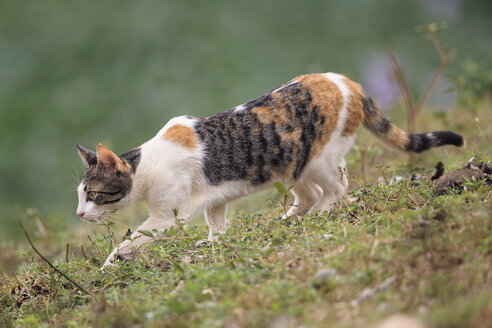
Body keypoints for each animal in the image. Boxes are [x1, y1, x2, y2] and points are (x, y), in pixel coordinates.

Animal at [77, 72, 466, 266]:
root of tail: (346, 81)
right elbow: (216, 222)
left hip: (319, 161)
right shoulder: (214, 200)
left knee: (337, 188)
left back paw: (321, 213)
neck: (146, 165)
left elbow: (132, 239)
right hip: (294, 167)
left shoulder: (167, 216)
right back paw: (288, 219)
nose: (80, 214)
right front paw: (215, 243)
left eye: (94, 194)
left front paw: (111, 262)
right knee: (309, 194)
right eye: (79, 195)